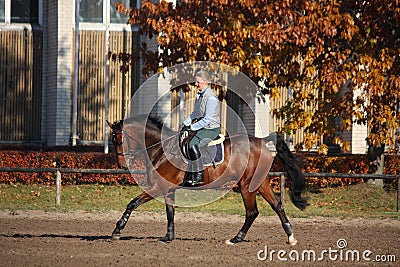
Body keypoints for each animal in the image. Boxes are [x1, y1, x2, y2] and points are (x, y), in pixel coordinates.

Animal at [107, 115, 310, 245]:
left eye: (119, 140)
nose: (122, 166)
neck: (161, 150)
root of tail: (261, 141)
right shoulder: (168, 189)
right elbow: (170, 212)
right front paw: (168, 236)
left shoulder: (157, 186)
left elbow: (132, 203)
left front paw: (117, 230)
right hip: (260, 183)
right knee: (277, 205)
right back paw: (290, 237)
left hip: (246, 186)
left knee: (252, 212)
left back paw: (236, 239)